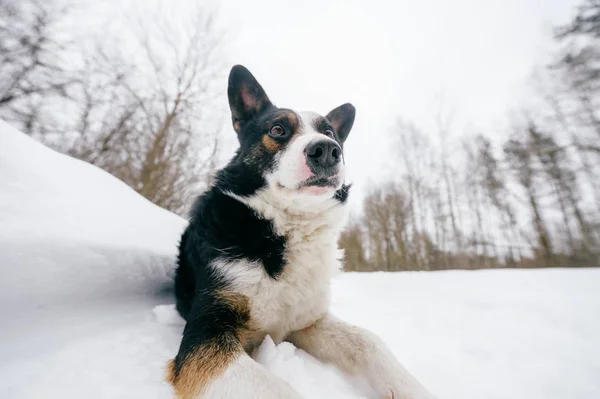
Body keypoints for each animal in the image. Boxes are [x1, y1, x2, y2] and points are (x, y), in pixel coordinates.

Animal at [165, 65, 436, 399]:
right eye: (278, 129)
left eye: (330, 133)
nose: (327, 150)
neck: (287, 226)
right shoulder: (206, 336)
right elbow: (278, 390)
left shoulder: (307, 322)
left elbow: (368, 340)